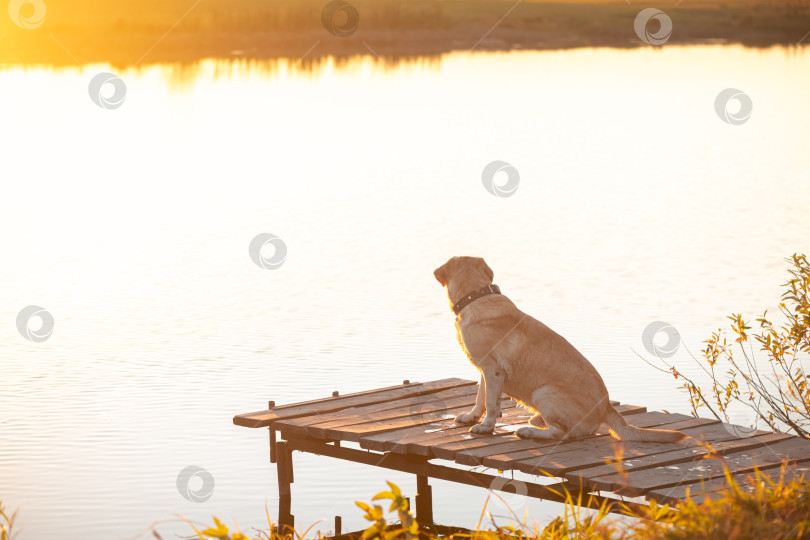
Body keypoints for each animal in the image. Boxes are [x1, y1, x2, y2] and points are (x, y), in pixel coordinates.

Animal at [430, 258, 680, 442]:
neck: (476, 297)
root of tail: (607, 408)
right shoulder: (484, 369)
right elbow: (480, 398)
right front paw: (471, 417)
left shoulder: (493, 370)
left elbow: (491, 404)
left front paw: (485, 427)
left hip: (544, 393)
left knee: (563, 433)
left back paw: (529, 431)